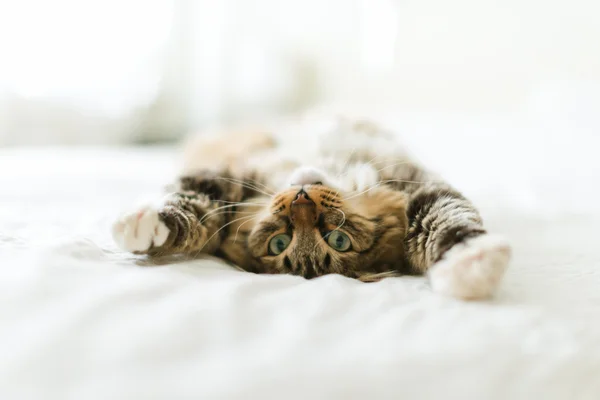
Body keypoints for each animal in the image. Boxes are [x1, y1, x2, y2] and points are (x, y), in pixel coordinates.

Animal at [113, 119, 510, 300]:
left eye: (338, 240)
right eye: (278, 242)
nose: (301, 201)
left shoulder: (420, 187)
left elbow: (450, 221)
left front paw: (473, 264)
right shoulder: (230, 179)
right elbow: (190, 199)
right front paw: (146, 223)